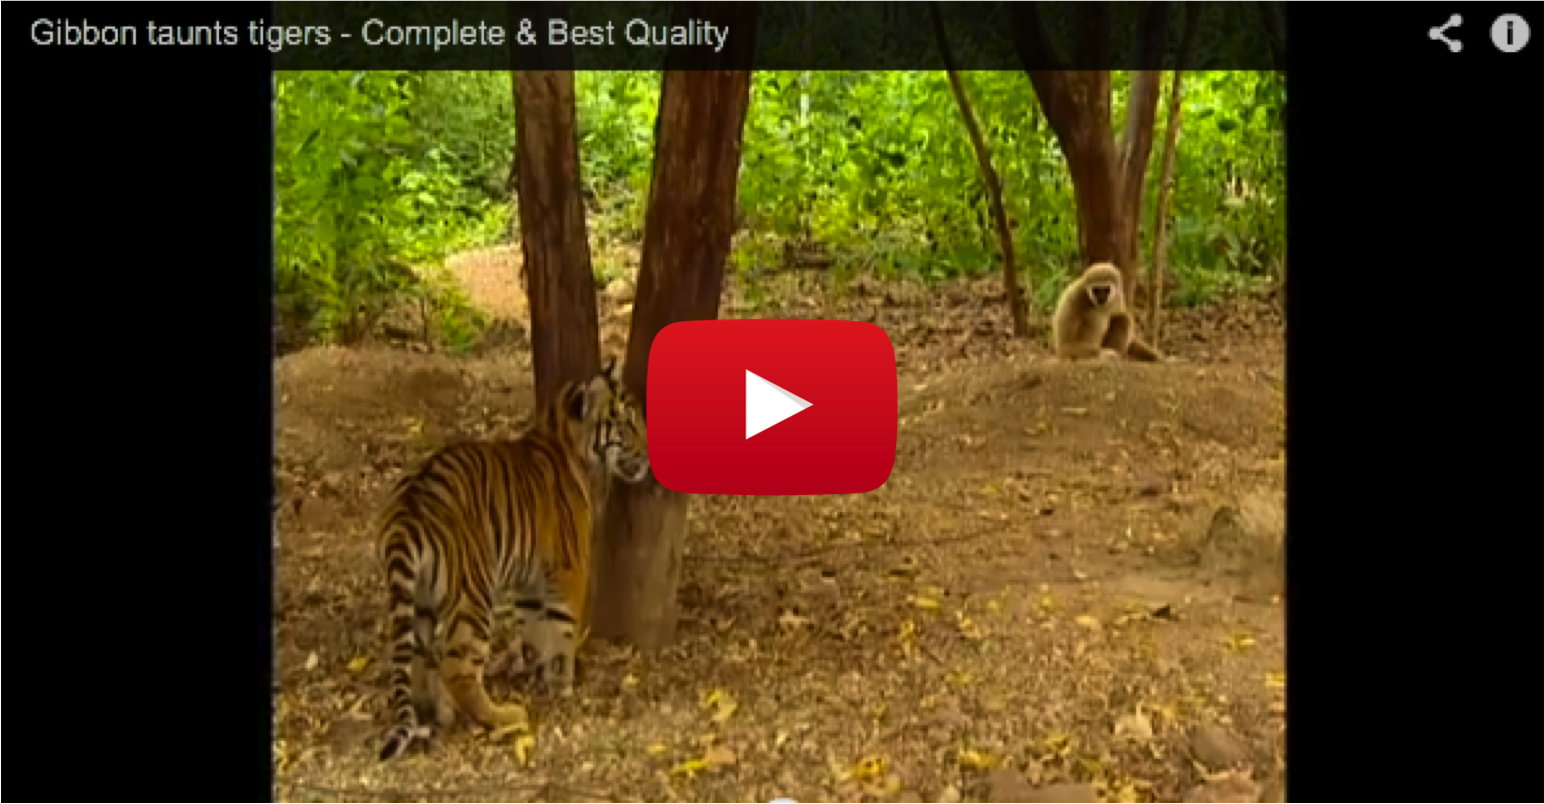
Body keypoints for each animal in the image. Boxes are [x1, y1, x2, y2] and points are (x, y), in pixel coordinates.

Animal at [375, 357, 650, 762]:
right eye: (628, 423)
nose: (647, 456)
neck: (566, 436)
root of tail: (408, 509)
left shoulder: (530, 578)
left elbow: (534, 628)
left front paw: (536, 671)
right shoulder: (569, 567)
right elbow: (564, 629)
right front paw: (563, 685)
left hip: (420, 598)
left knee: (424, 658)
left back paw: (442, 713)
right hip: (474, 592)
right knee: (457, 667)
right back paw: (504, 715)